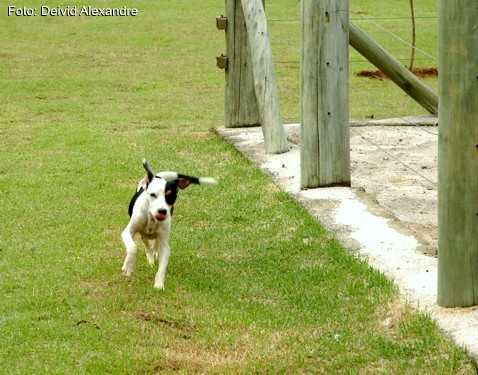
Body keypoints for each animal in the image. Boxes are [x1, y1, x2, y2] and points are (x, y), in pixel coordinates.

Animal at [120, 159, 218, 290]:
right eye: (152, 195)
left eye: (171, 196)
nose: (162, 211)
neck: (151, 219)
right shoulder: (127, 232)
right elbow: (132, 247)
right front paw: (128, 266)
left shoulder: (165, 245)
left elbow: (162, 266)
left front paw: (159, 284)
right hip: (141, 232)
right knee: (145, 242)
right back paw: (150, 257)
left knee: (154, 242)